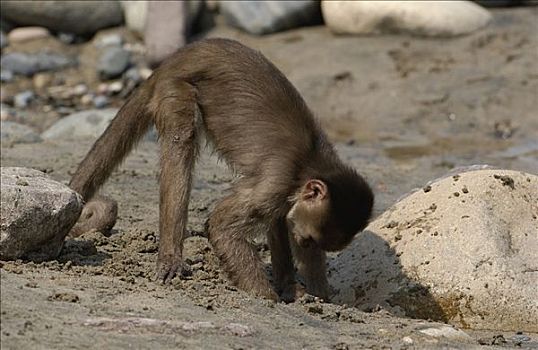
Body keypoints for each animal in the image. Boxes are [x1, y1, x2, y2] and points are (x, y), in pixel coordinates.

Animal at [68, 37, 372, 300]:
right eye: (307, 241)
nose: (304, 242)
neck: (312, 163)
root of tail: (174, 59)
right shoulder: (276, 184)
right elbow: (220, 225)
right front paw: (267, 298)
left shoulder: (285, 196)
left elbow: (277, 222)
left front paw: (303, 292)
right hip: (175, 87)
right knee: (182, 137)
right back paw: (170, 257)